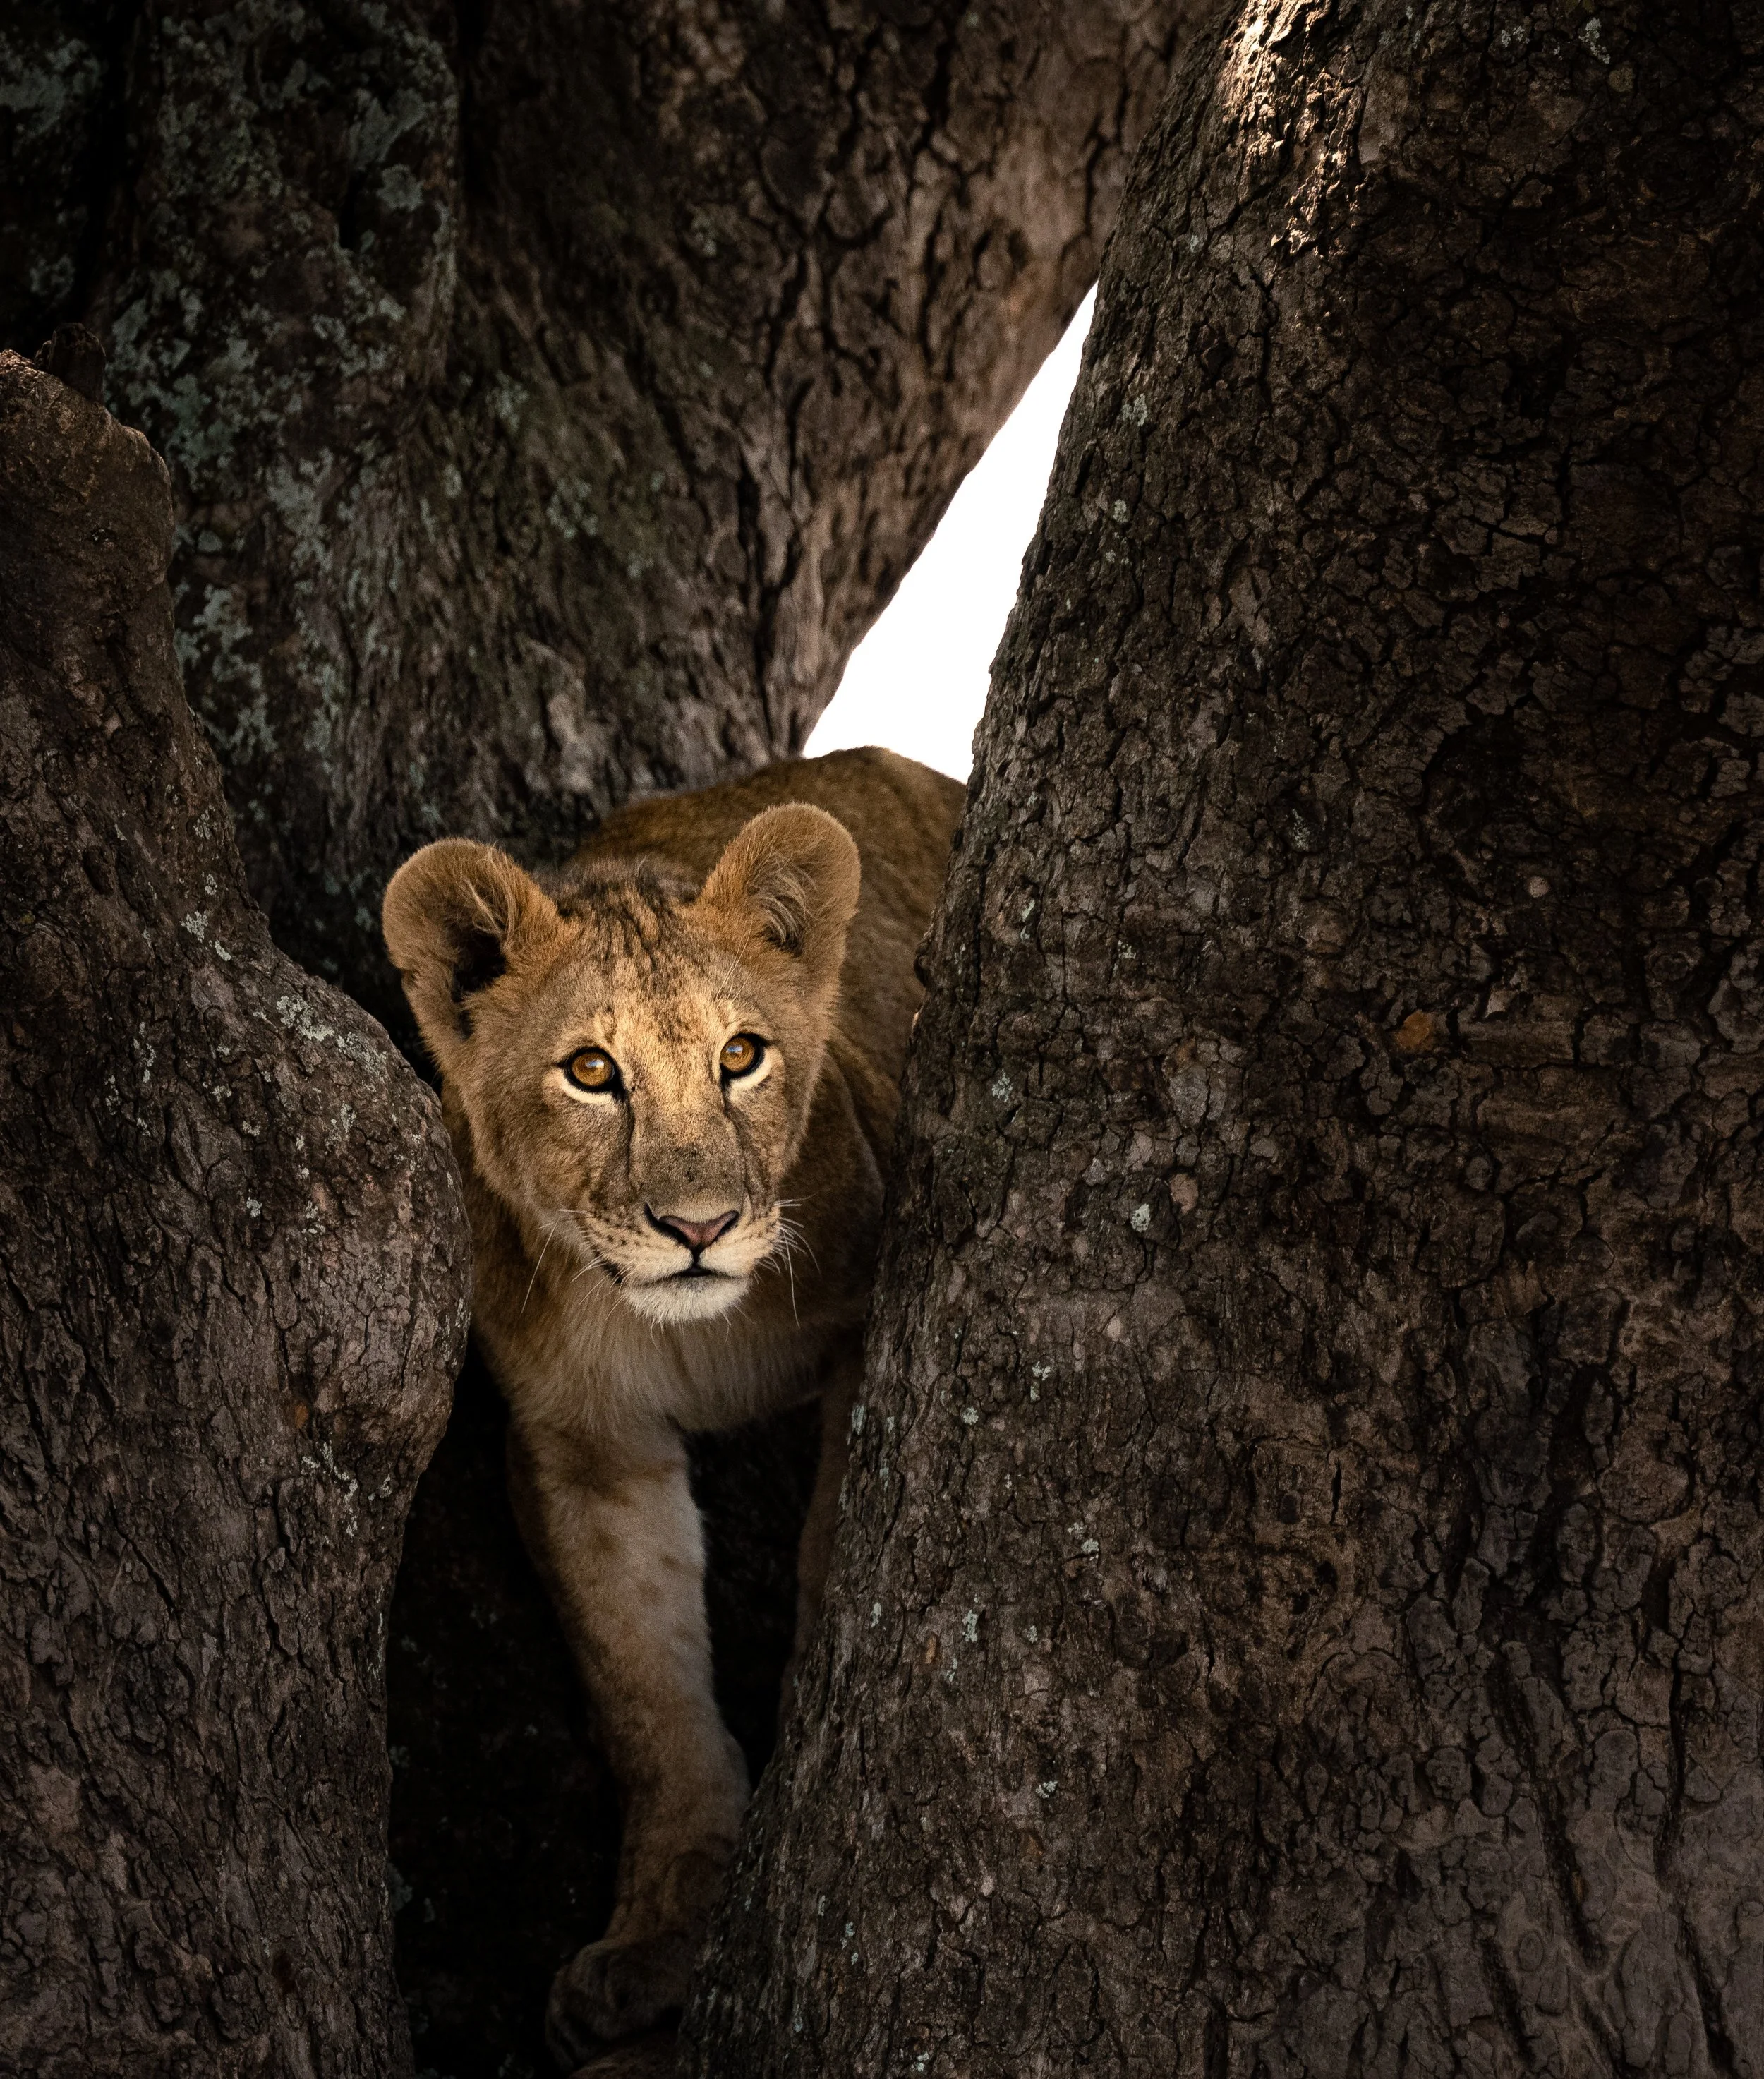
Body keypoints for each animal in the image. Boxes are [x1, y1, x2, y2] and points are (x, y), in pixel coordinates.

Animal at [382, 747, 963, 2065]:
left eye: (742, 1055)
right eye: (593, 1072)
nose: (699, 1227)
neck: (680, 1333)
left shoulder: (856, 1333)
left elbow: (829, 1558)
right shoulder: (581, 1443)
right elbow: (645, 1691)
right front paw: (654, 1946)